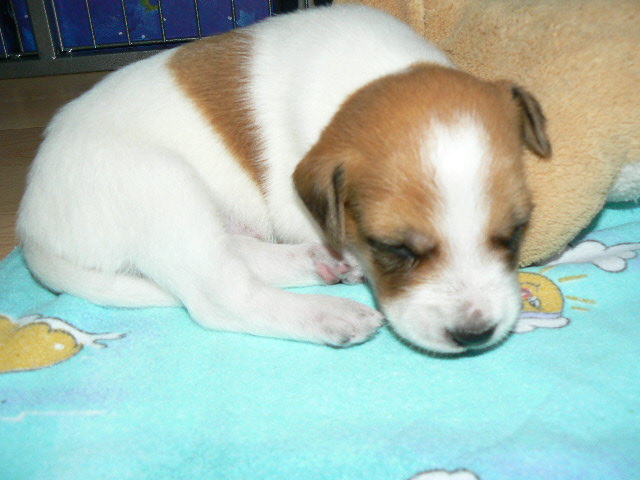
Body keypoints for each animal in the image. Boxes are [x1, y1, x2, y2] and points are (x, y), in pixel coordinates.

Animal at [18, 5, 551, 354]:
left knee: (240, 253)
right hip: (163, 187)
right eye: (393, 248)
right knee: (222, 295)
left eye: (516, 232)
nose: (475, 334)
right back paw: (329, 312)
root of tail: (30, 224)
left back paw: (320, 263)